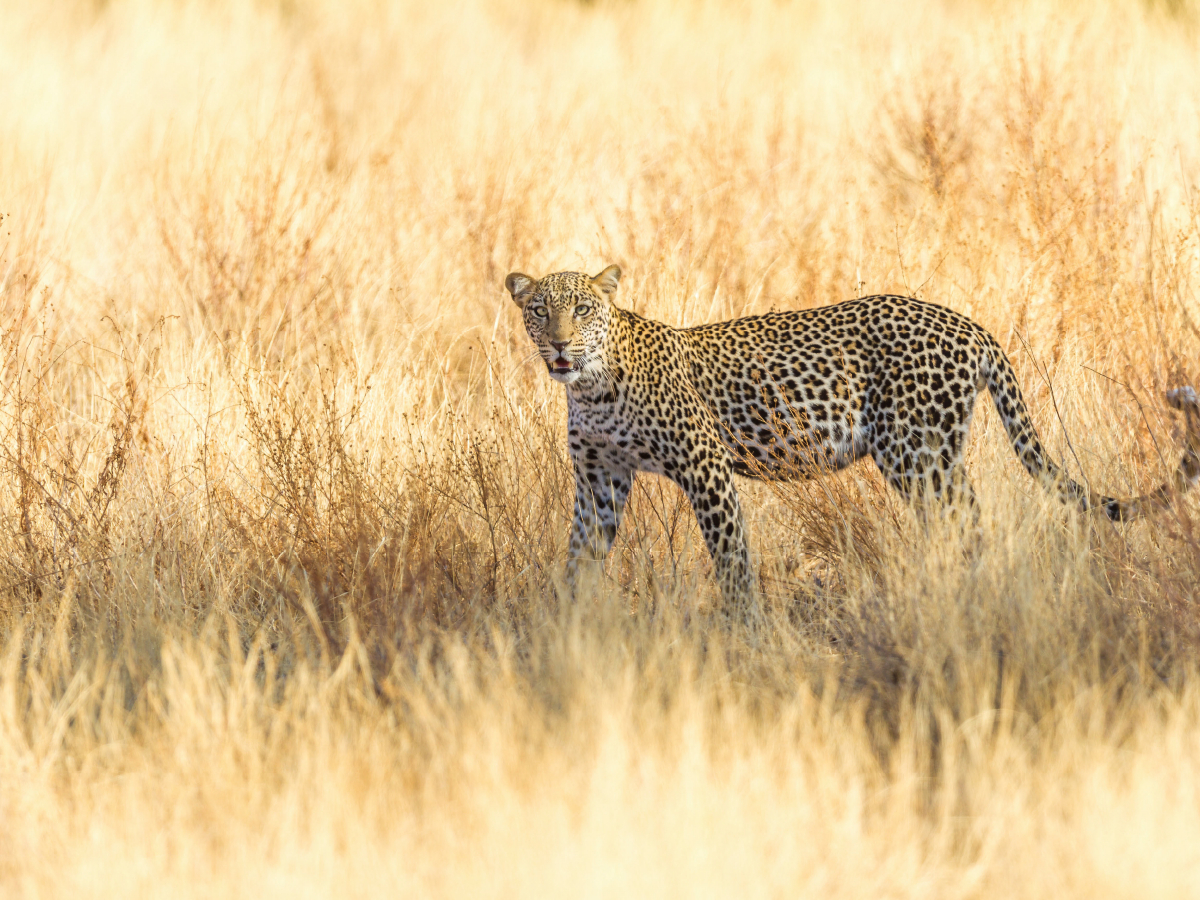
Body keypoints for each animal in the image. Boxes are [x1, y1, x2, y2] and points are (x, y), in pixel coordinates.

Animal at [501, 267, 1195, 607]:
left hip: (914, 453)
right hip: (933, 456)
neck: (591, 386)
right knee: (967, 522)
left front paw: (745, 636)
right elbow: (578, 558)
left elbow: (732, 561)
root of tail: (971, 326)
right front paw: (565, 630)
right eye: (539, 310)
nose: (560, 345)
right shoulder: (600, 480)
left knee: (967, 525)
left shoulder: (706, 469)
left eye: (583, 308)